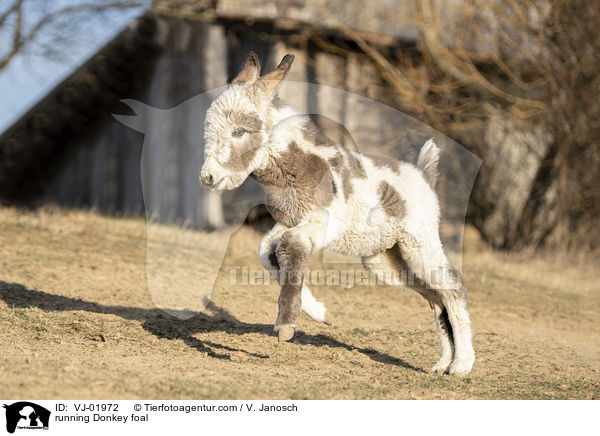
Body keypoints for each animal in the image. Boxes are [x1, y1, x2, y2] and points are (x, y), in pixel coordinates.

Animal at [199, 53, 476, 374]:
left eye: (239, 131)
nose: (208, 178)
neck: (303, 166)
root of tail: (423, 176)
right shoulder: (290, 222)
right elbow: (267, 252)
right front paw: (318, 312)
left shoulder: (322, 223)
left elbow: (289, 248)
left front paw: (286, 325)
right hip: (387, 260)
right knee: (435, 297)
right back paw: (443, 363)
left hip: (420, 244)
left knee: (453, 287)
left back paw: (462, 365)